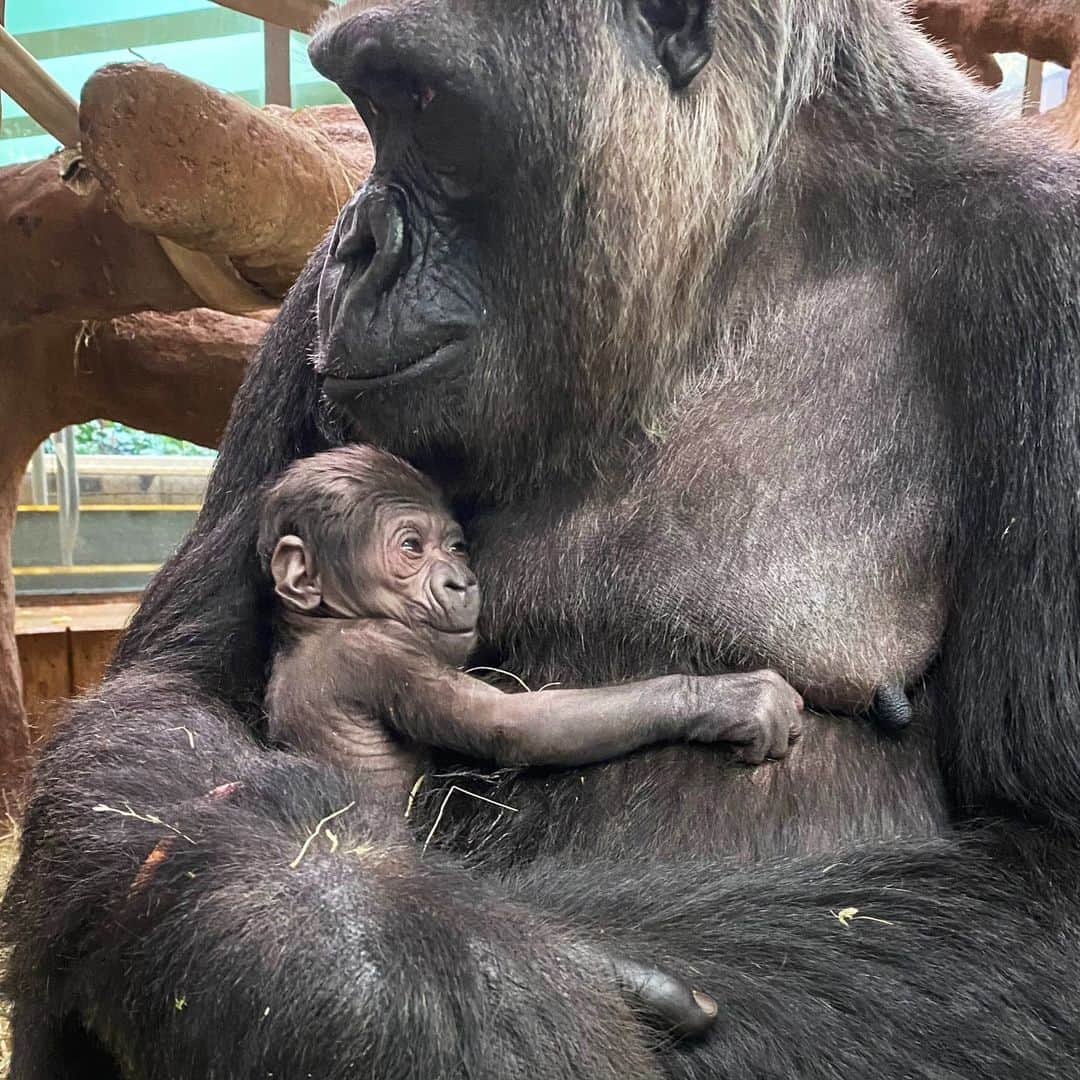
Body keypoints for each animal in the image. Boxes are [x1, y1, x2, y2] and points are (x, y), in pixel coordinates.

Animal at [259, 442, 803, 807]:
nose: (460, 581)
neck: (321, 625)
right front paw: (724, 700)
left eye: (455, 547)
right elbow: (516, 724)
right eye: (411, 546)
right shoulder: (377, 651)